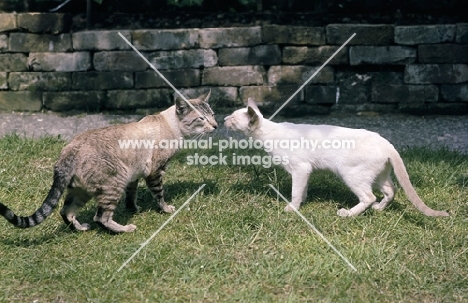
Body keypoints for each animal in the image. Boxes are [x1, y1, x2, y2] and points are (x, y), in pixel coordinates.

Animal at [0, 92, 216, 233]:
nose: (215, 125)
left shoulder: (134, 175)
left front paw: (134, 209)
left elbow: (132, 195)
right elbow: (159, 195)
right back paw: (125, 229)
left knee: (66, 211)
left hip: (82, 191)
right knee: (100, 217)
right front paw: (167, 210)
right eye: (201, 118)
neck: (171, 125)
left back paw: (81, 229)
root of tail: (69, 151)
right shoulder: (154, 172)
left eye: (212, 115)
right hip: (114, 183)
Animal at [225, 98, 452, 217]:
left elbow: (296, 192)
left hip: (349, 173)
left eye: (234, 119)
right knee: (391, 190)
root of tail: (388, 144)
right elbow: (303, 190)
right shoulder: (305, 172)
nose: (224, 119)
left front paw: (292, 209)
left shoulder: (300, 169)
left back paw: (348, 214)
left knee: (369, 196)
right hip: (379, 175)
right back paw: (378, 209)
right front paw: (304, 202)